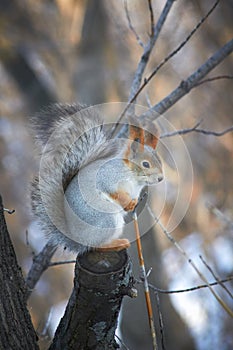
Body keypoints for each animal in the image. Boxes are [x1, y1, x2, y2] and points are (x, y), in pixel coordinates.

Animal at [30, 103, 164, 254]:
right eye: (146, 164)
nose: (161, 178)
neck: (133, 177)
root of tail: (76, 238)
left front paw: (132, 203)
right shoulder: (107, 176)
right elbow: (110, 189)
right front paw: (126, 202)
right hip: (107, 218)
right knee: (94, 245)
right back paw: (115, 244)